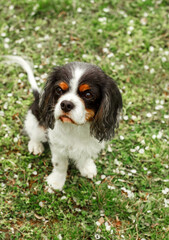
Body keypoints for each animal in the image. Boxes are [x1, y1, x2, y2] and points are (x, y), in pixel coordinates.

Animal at [4, 55, 121, 190]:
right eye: (59, 90)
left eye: (88, 94)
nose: (66, 104)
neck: (76, 128)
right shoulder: (58, 146)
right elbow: (60, 164)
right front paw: (56, 181)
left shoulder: (89, 143)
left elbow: (85, 156)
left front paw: (86, 167)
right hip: (36, 122)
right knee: (33, 133)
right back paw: (35, 145)